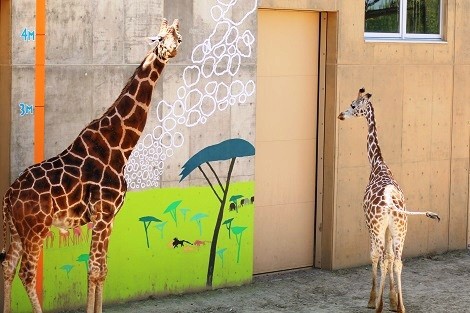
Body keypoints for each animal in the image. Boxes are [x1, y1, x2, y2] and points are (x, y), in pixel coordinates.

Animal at [1, 18, 182, 312]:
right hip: (36, 229)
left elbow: (102, 269)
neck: (118, 147)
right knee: (26, 273)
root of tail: (7, 197)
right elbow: (94, 269)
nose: (172, 49)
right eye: (159, 38)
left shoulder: (109, 218)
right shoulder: (103, 213)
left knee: (7, 266)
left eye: (178, 37)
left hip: (17, 230)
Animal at [338, 87, 440, 312]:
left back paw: (378, 306)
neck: (378, 165)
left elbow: (375, 256)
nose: (340, 115)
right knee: (398, 260)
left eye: (352, 105)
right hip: (401, 229)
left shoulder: (370, 224)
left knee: (383, 258)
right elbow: (392, 258)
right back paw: (401, 306)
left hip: (378, 227)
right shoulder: (389, 229)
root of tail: (392, 204)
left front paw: (373, 300)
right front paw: (393, 300)